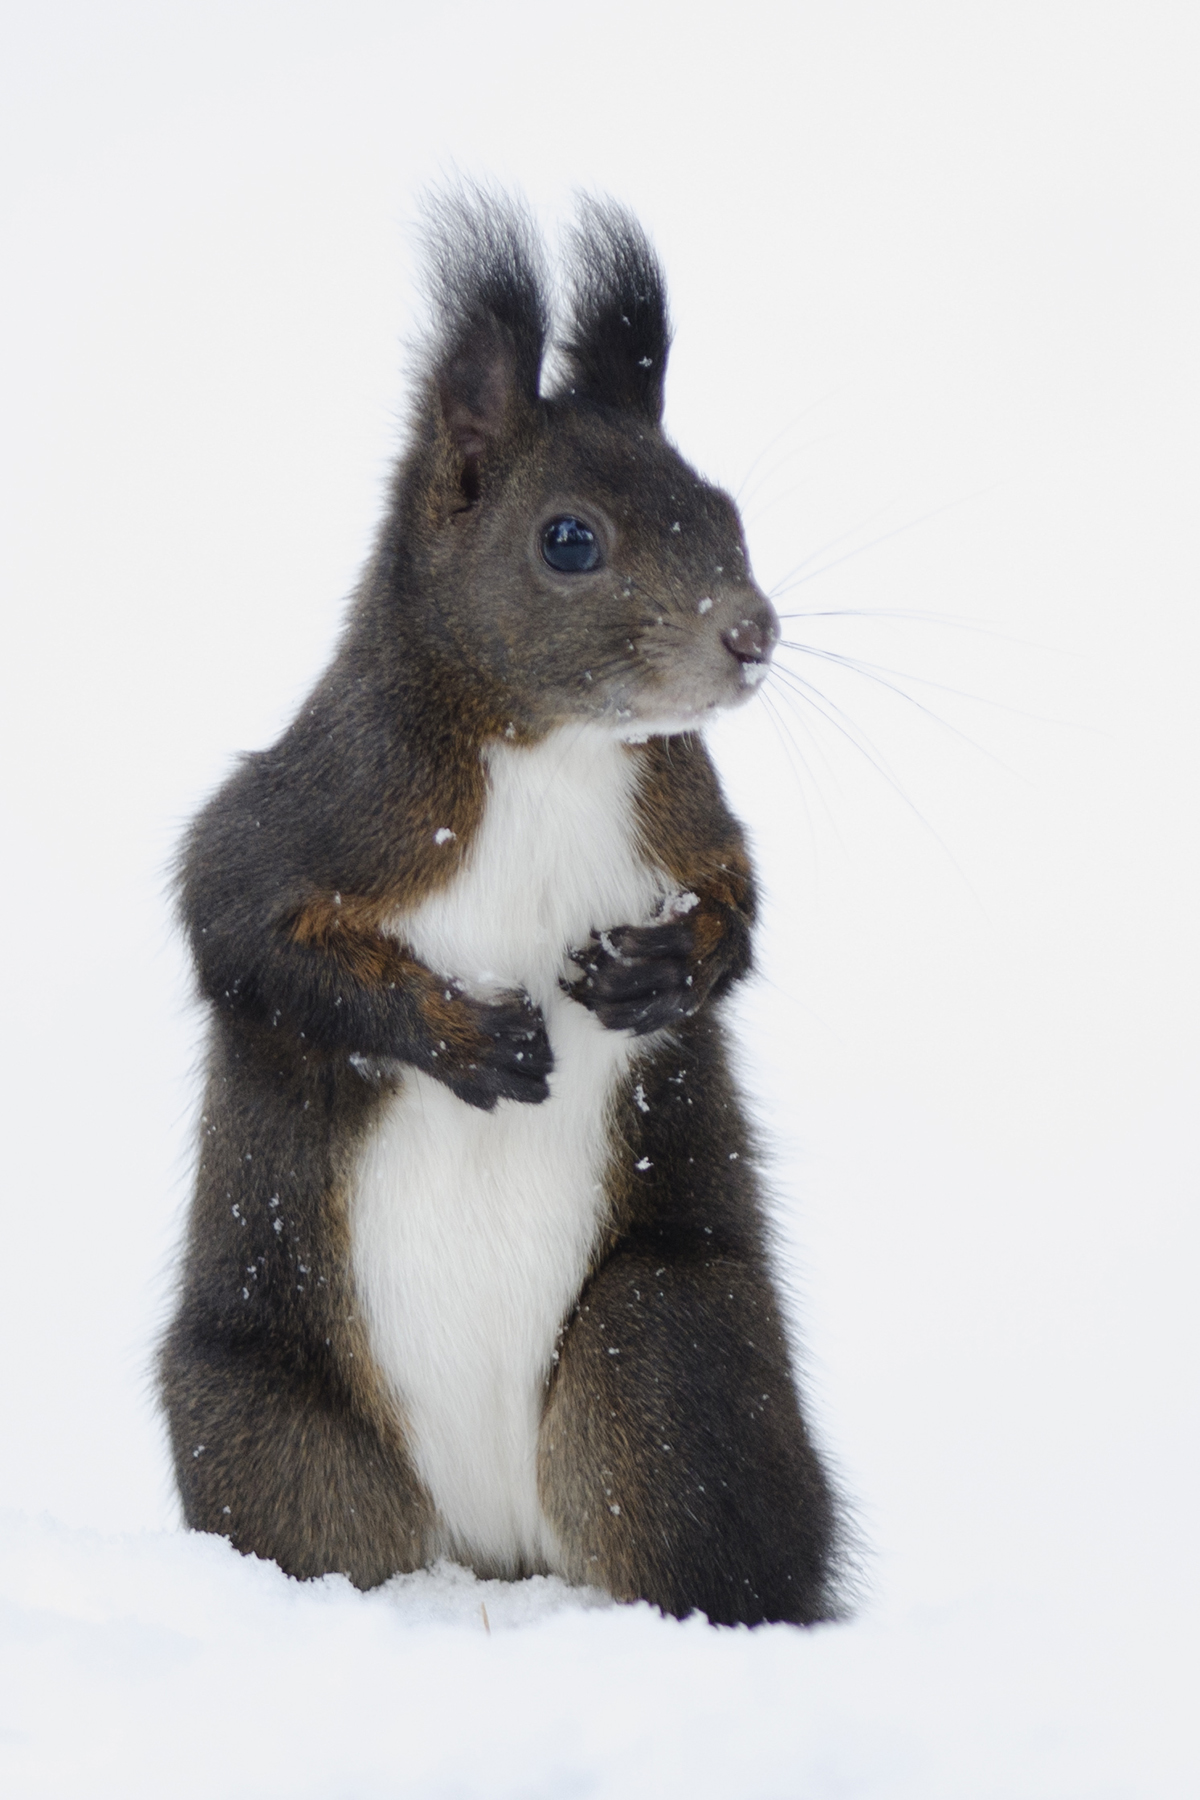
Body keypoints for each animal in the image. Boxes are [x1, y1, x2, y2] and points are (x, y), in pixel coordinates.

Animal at [160, 191, 839, 1627]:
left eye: (723, 507)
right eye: (567, 539)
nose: (750, 633)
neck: (555, 745)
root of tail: (492, 1555)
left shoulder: (689, 821)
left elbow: (740, 906)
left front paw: (662, 974)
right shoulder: (313, 810)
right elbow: (241, 936)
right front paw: (462, 1036)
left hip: (666, 1355)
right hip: (273, 1429)